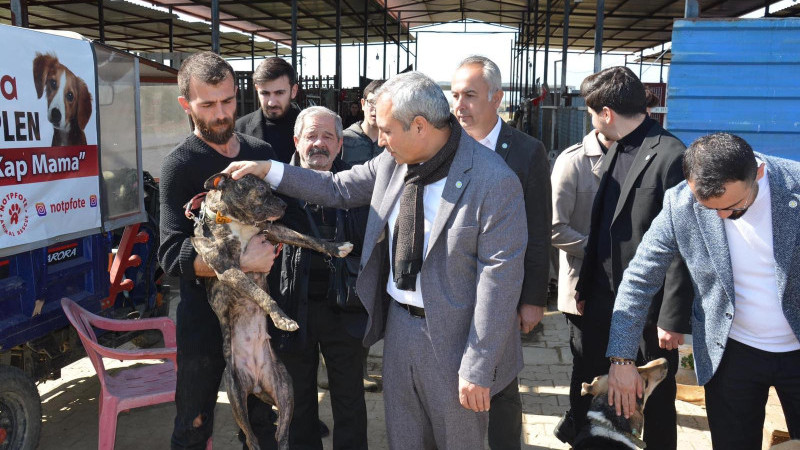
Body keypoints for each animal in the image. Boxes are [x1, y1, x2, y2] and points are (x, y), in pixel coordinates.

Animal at [191, 173, 354, 450]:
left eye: (272, 188)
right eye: (262, 192)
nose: (285, 205)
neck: (234, 221)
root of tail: (256, 384)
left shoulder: (274, 230)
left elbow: (308, 238)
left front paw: (337, 247)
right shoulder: (228, 268)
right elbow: (261, 295)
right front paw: (283, 319)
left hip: (285, 389)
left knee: (282, 433)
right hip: (236, 396)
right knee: (252, 437)